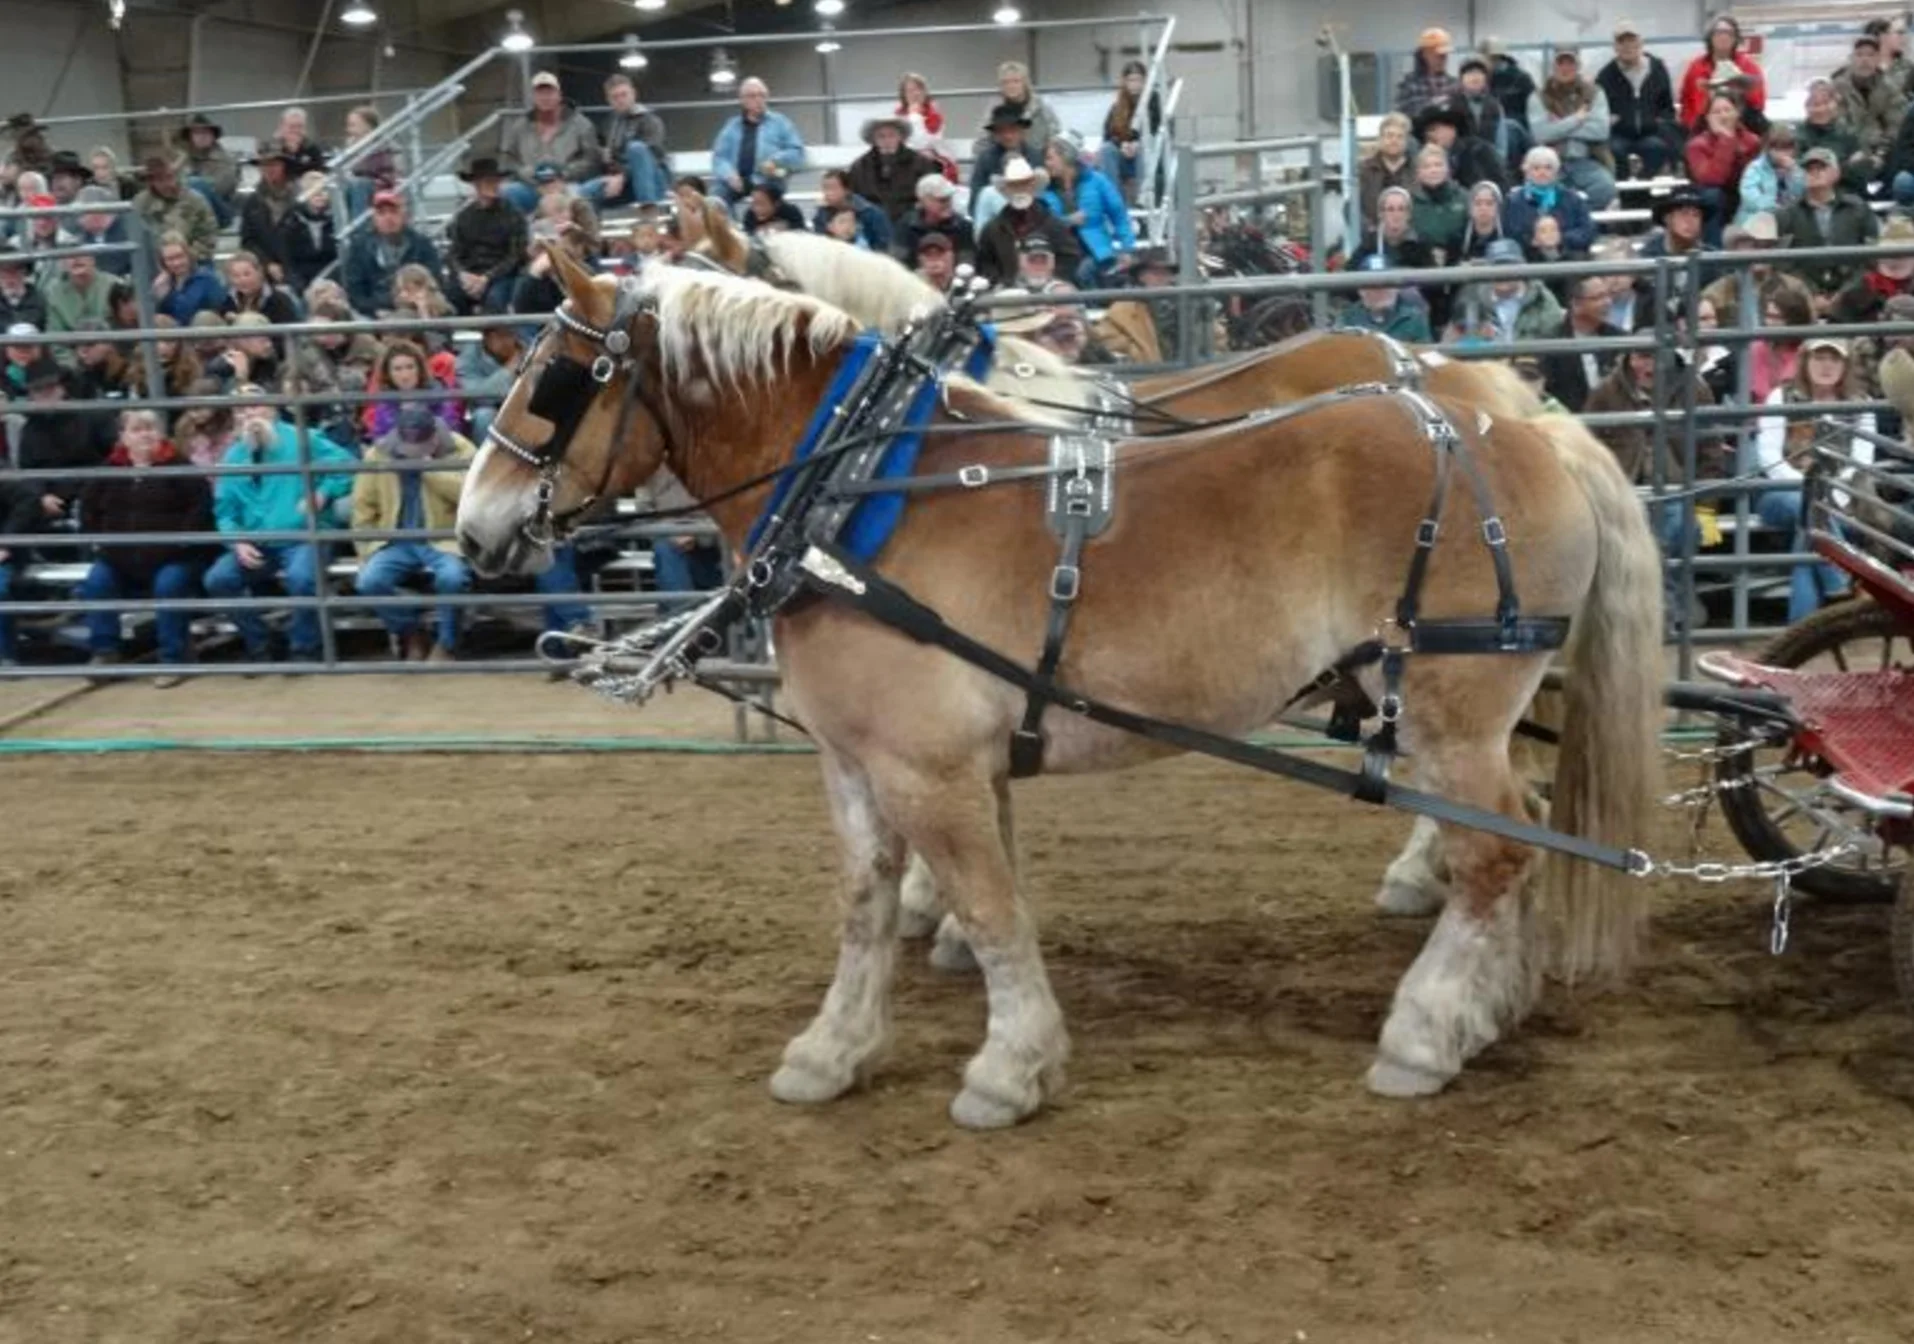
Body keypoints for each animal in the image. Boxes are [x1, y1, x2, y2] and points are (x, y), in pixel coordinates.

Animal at [455, 251, 1663, 1128]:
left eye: (550, 378)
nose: (474, 529)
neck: (858, 488)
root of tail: (1525, 423)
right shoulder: (857, 762)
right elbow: (866, 908)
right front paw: (833, 1051)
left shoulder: (932, 768)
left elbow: (991, 909)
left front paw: (1010, 1068)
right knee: (1515, 833)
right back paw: (1487, 1004)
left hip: (1449, 714)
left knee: (1494, 851)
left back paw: (1423, 1032)